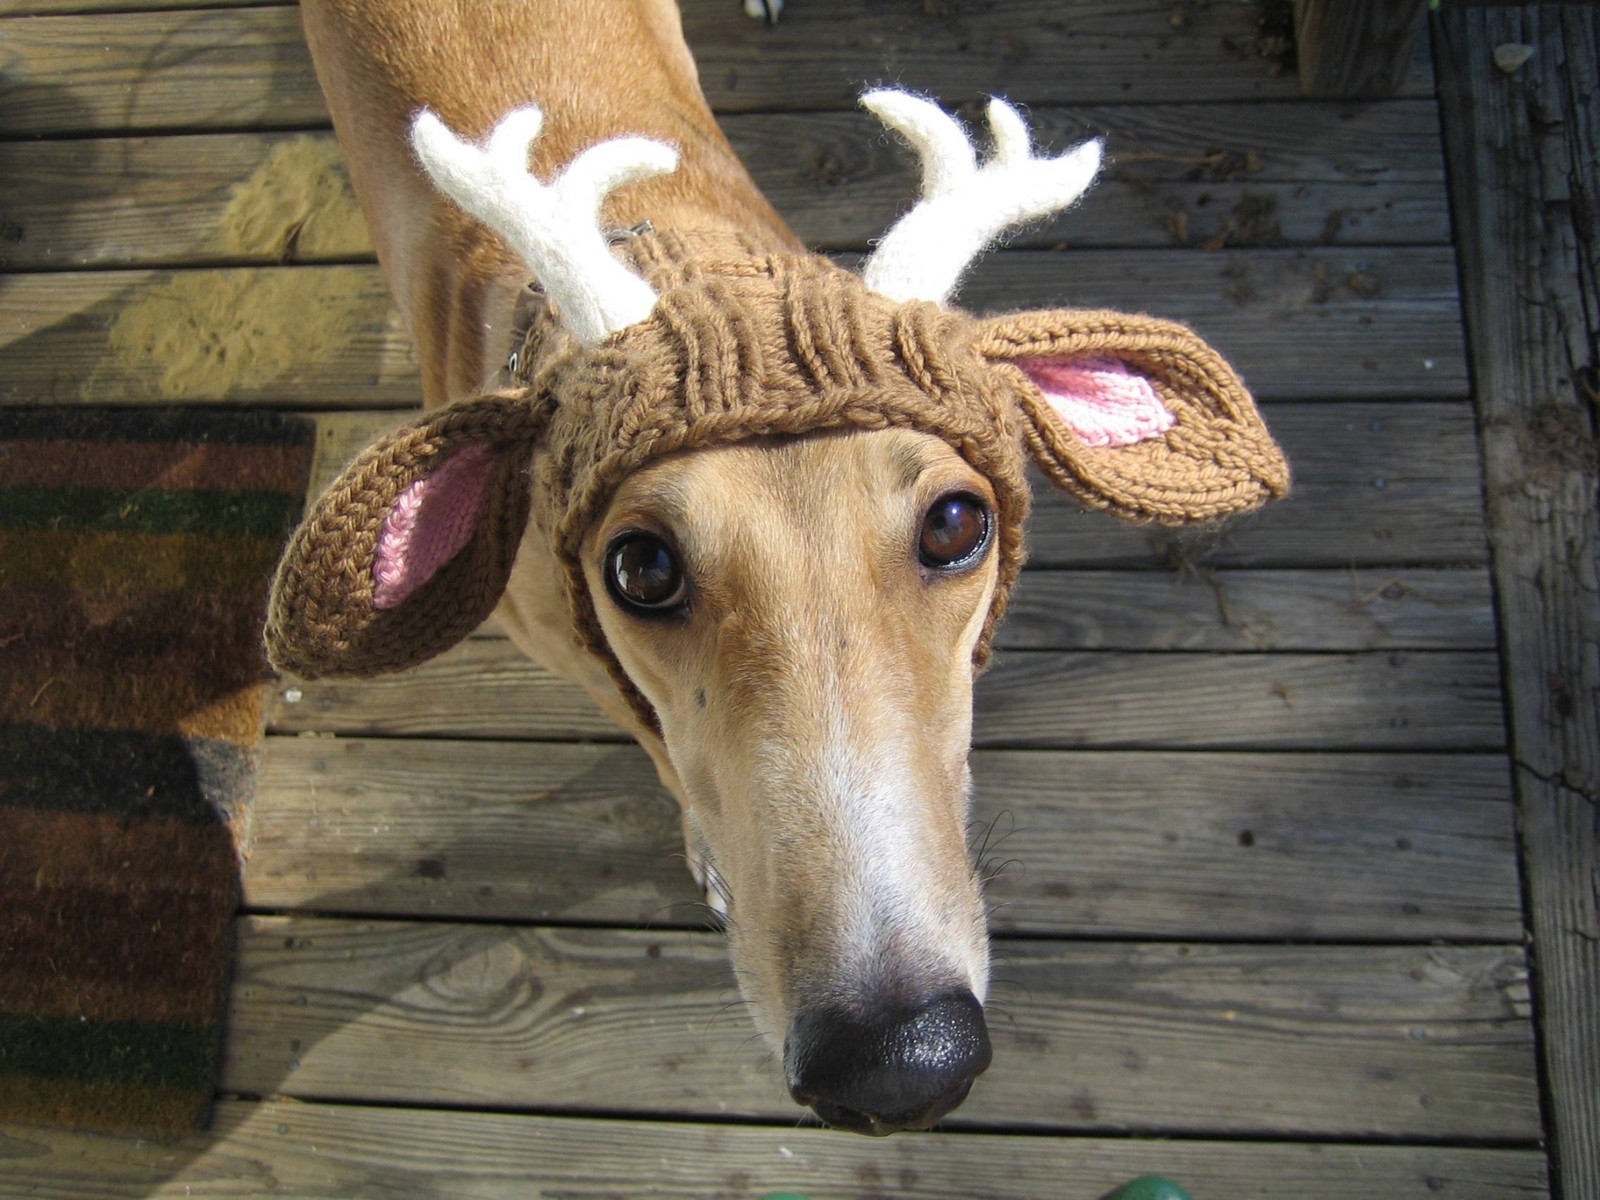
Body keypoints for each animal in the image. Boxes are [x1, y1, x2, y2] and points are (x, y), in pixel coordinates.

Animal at [268, 0, 1280, 1139]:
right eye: (639, 566)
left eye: (957, 522)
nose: (898, 1065)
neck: (680, 256)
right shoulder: (579, 657)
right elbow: (662, 750)